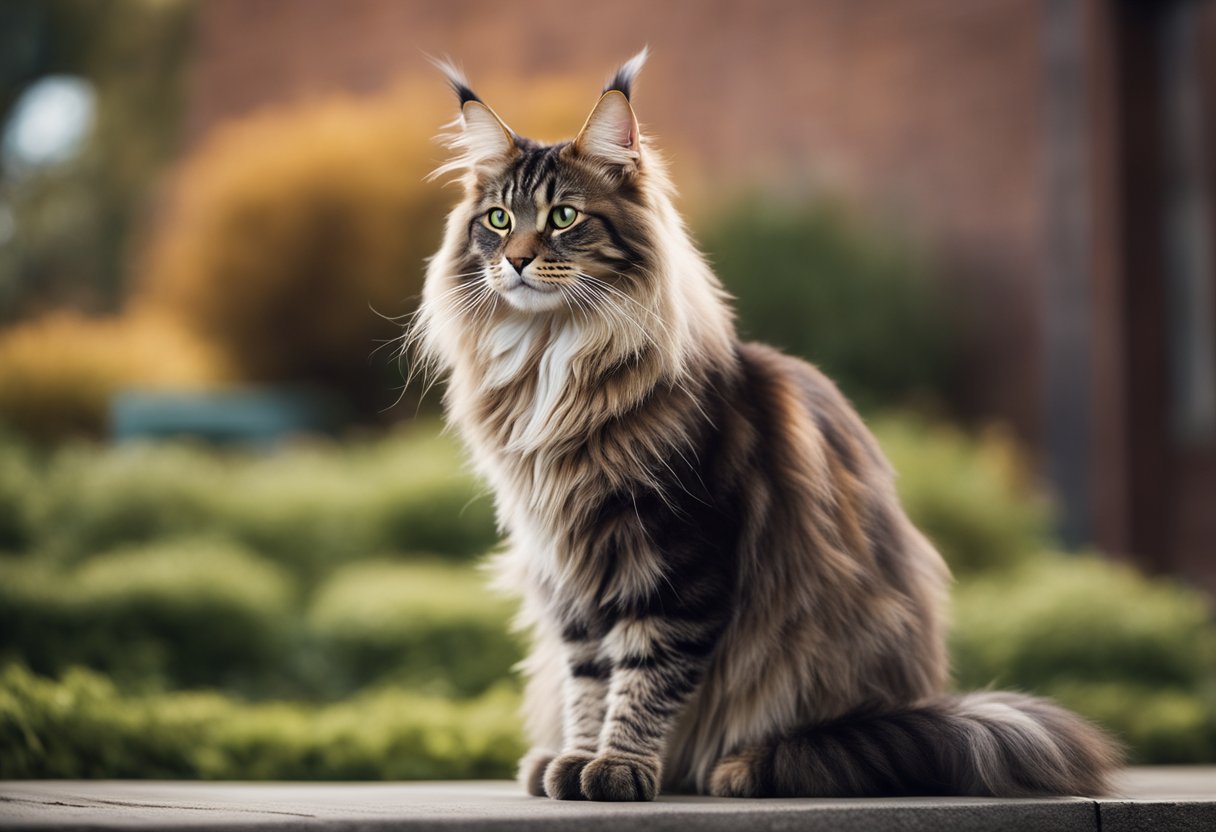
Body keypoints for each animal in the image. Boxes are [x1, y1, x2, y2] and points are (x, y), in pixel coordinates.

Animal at [413, 50, 1123, 797]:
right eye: (497, 219)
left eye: (563, 216)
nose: (516, 259)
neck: (554, 361)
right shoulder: (568, 569)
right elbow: (589, 677)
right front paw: (578, 759)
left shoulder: (680, 554)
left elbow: (643, 675)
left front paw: (619, 767)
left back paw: (736, 767)